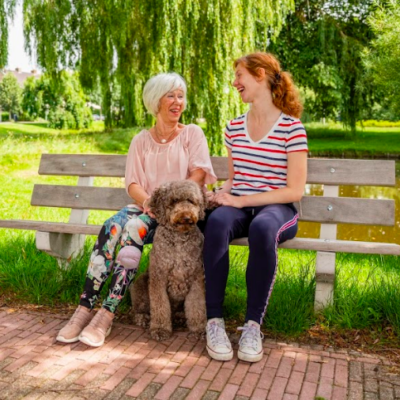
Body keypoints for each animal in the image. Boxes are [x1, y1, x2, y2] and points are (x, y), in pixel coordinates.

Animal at [130, 180, 206, 340]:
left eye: (191, 201)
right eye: (174, 201)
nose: (186, 216)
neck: (179, 239)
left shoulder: (197, 279)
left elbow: (196, 306)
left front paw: (199, 329)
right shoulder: (158, 277)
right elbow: (160, 306)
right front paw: (160, 329)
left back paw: (180, 317)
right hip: (140, 283)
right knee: (138, 310)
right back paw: (143, 318)